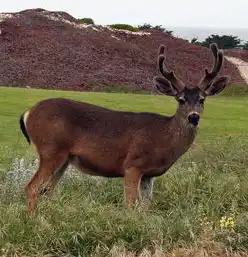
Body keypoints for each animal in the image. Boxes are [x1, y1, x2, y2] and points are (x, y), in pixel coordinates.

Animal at [19, 43, 231, 215]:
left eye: (202, 99)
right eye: (181, 100)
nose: (193, 117)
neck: (163, 139)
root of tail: (28, 113)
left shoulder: (149, 175)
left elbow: (147, 206)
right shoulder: (133, 165)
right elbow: (130, 205)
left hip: (64, 159)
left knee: (47, 191)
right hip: (51, 149)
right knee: (31, 187)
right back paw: (34, 222)